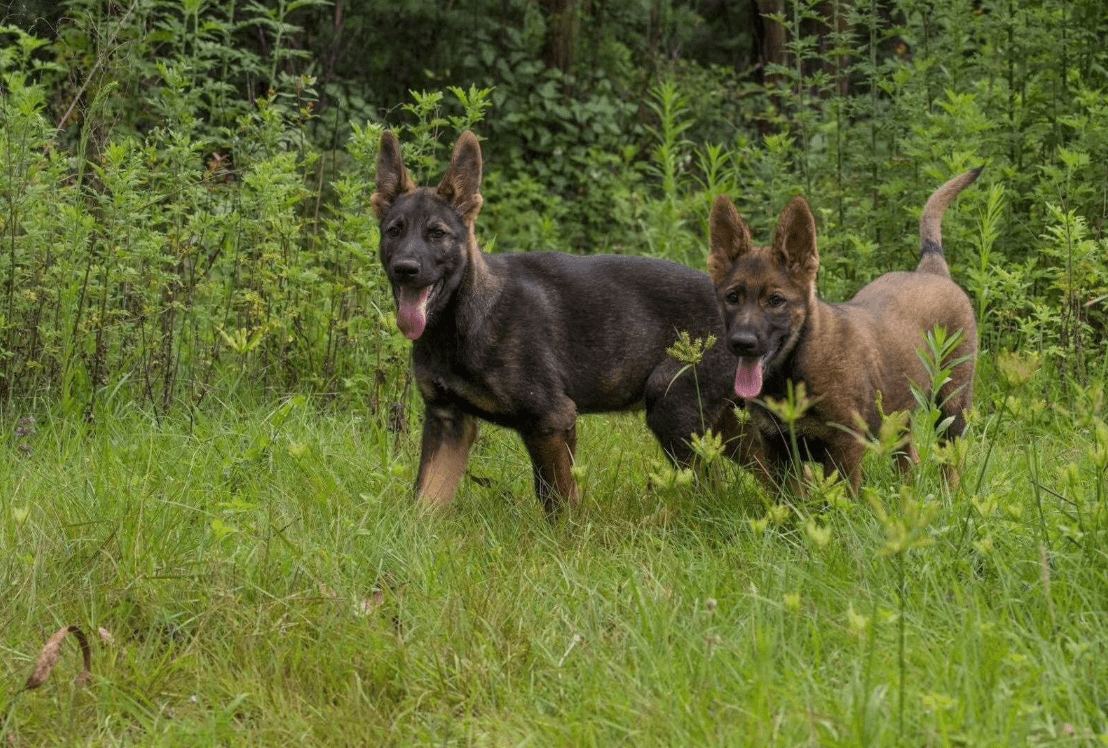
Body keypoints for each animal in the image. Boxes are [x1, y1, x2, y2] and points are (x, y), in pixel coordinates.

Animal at [372, 130, 753, 514]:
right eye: (394, 231)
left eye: (437, 234)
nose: (405, 269)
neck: (463, 319)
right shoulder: (447, 420)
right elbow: (425, 500)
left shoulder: (551, 420)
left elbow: (558, 501)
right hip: (733, 426)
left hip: (674, 410)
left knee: (708, 489)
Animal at [709, 168, 979, 492]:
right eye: (732, 297)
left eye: (776, 300)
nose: (742, 342)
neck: (793, 368)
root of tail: (931, 268)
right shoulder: (777, 448)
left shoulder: (843, 446)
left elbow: (842, 499)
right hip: (898, 410)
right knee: (908, 457)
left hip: (953, 400)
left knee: (953, 458)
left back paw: (952, 493)